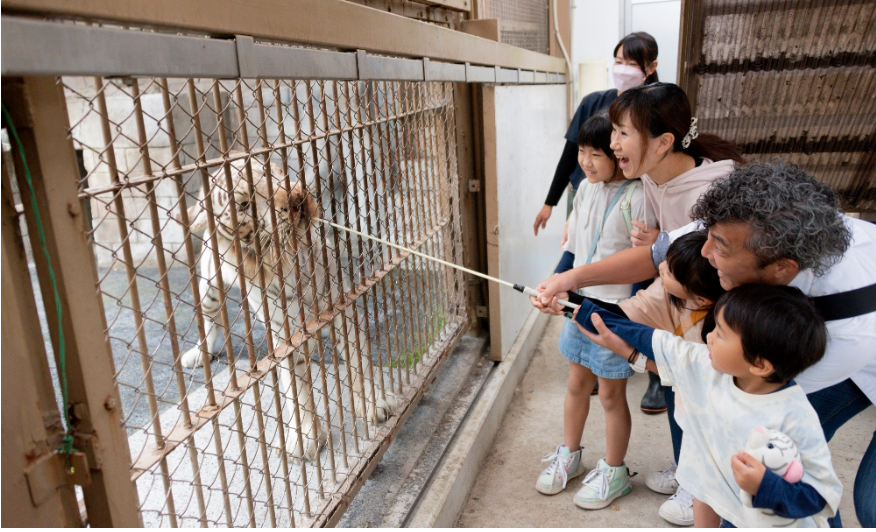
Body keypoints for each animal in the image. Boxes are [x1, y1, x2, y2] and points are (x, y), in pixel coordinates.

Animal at [182, 159, 400, 462]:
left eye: (267, 171)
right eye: (244, 204)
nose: (295, 199)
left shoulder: (340, 305)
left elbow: (359, 362)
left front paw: (374, 403)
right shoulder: (285, 333)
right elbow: (298, 389)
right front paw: (306, 438)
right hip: (210, 288)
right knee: (209, 320)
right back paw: (196, 355)